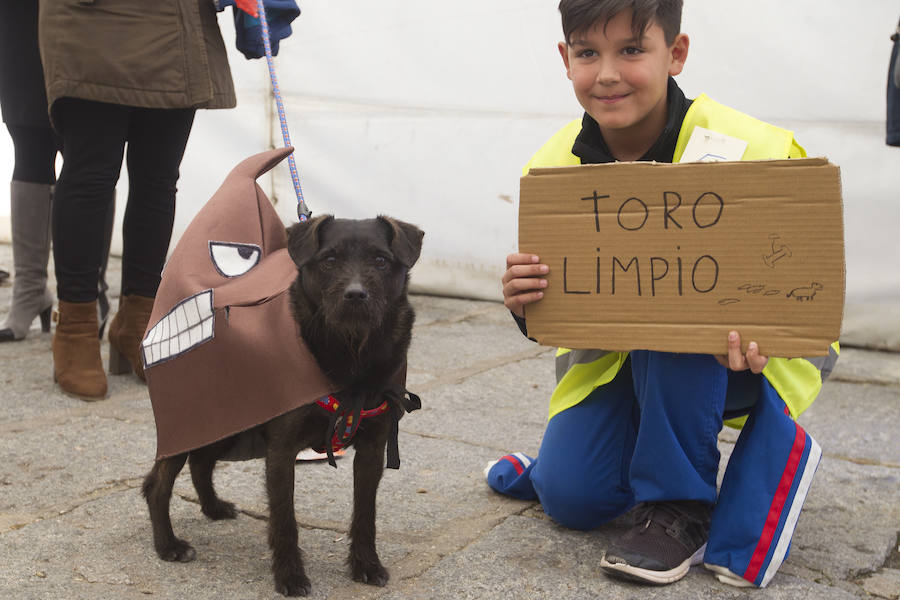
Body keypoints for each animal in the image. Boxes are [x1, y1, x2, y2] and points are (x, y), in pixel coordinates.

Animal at [142, 214, 424, 596]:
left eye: (380, 260)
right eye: (329, 259)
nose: (355, 294)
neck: (351, 352)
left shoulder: (372, 449)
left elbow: (366, 515)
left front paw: (366, 565)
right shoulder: (281, 451)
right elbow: (284, 520)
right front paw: (290, 576)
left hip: (228, 423)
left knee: (201, 463)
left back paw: (213, 508)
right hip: (192, 424)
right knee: (157, 486)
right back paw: (168, 545)